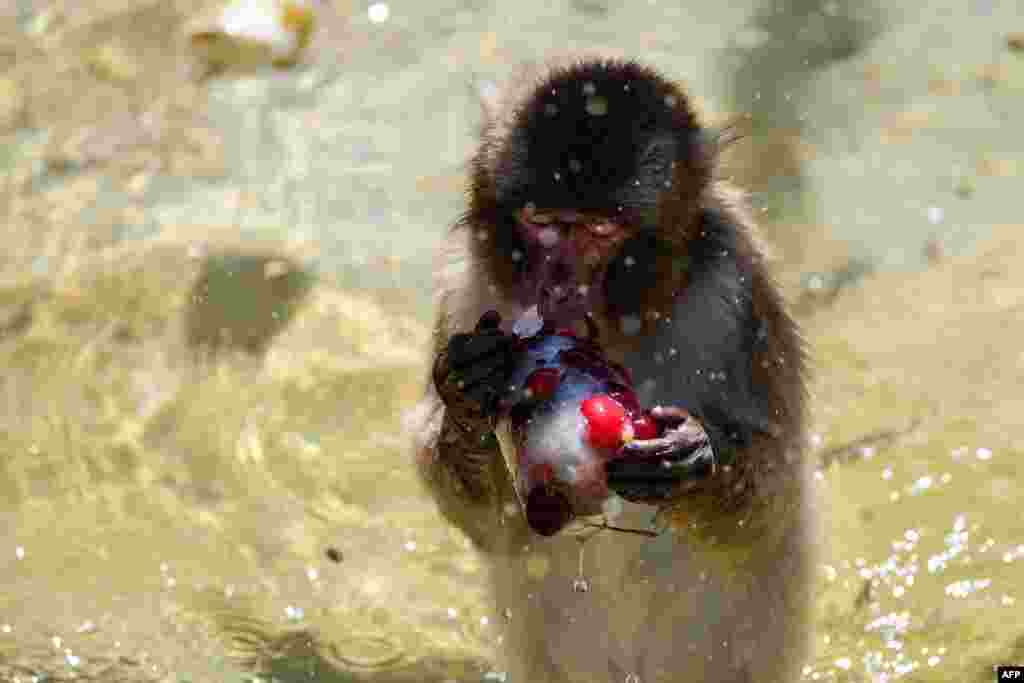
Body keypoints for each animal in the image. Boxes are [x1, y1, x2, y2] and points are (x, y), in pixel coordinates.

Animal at [406, 56, 813, 683]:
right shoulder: (465, 290)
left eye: (601, 232)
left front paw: (688, 459)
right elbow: (492, 526)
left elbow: (776, 493)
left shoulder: (740, 283)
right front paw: (468, 395)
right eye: (541, 221)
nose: (559, 288)